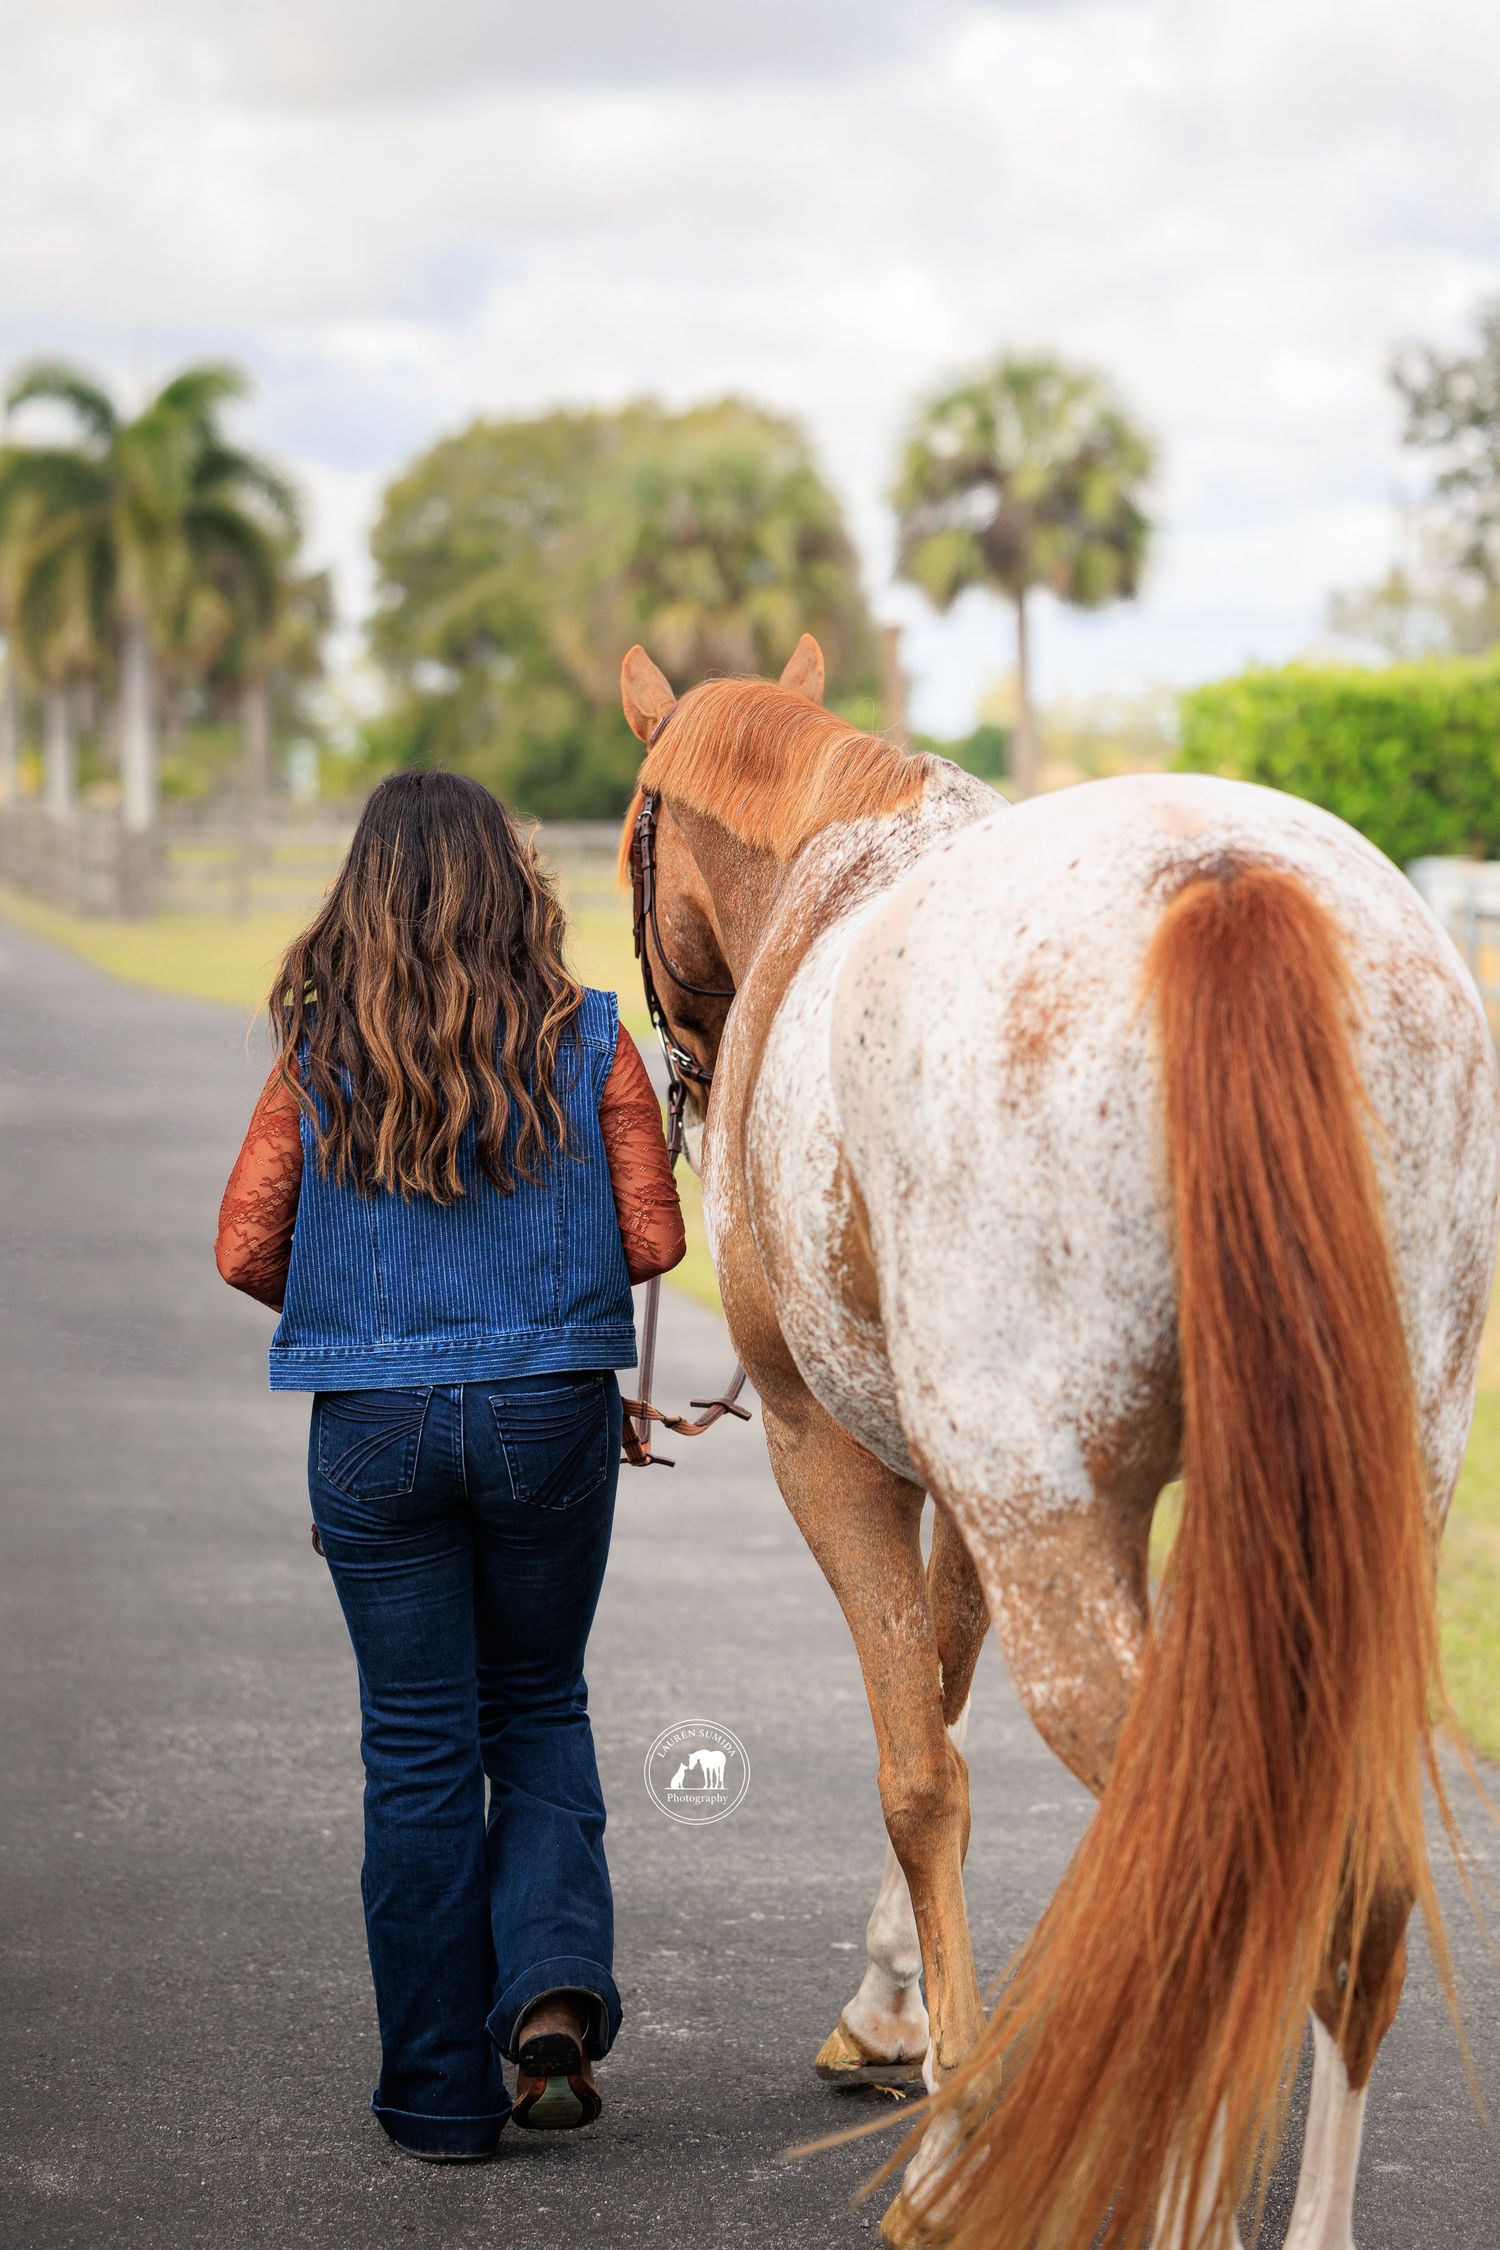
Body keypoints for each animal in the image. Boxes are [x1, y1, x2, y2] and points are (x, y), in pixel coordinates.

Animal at [617, 635, 1499, 2249]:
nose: (689, 1083)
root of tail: (1226, 887)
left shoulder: (838, 1456)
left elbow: (921, 1770)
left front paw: (946, 2119)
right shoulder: (972, 1502)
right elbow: (946, 1720)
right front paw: (893, 2014)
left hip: (1061, 1530)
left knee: (1213, 1853)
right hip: (1360, 1508)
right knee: (1336, 1886)